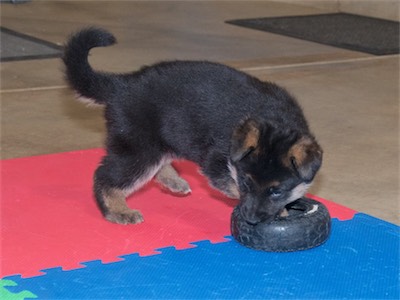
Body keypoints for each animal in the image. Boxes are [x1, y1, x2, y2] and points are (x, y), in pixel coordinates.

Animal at [63, 28, 324, 225]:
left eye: (276, 191)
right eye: (245, 183)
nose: (250, 220)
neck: (273, 118)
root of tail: (121, 85)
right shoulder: (216, 164)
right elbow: (230, 186)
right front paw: (281, 211)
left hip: (161, 140)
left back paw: (172, 181)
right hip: (139, 149)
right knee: (105, 176)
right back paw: (117, 210)